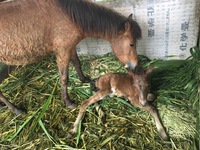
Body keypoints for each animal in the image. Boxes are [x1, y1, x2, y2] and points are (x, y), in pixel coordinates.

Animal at [0, 0, 141, 115]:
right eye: (131, 44)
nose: (135, 67)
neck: (69, 17)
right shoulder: (63, 51)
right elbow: (64, 78)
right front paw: (68, 102)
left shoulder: (71, 47)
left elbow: (77, 63)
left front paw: (85, 80)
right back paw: (16, 110)